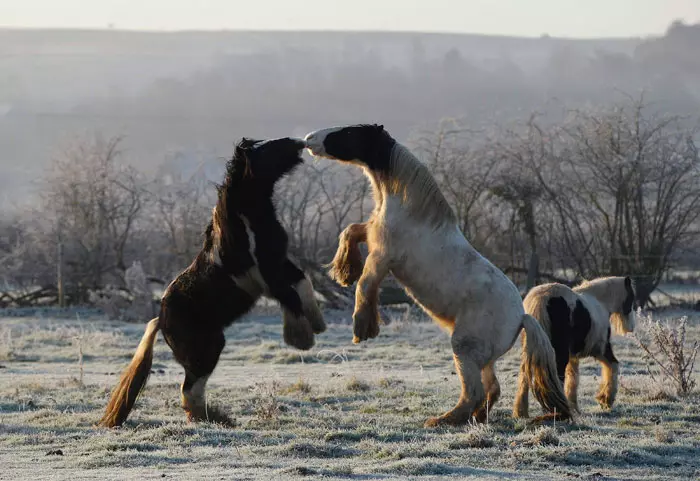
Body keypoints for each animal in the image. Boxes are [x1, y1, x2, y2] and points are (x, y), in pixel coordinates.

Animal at [99, 137, 326, 426]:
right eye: (265, 149)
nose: (298, 142)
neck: (245, 219)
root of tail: (161, 319)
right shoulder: (263, 274)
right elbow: (290, 297)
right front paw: (301, 339)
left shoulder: (279, 262)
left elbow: (303, 283)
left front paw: (317, 324)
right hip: (207, 348)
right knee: (189, 389)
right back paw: (216, 419)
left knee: (190, 390)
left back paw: (216, 418)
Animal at [304, 124, 572, 424]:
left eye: (349, 132)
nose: (309, 139)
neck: (409, 210)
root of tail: (521, 317)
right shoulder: (373, 236)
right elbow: (351, 231)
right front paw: (344, 270)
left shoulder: (382, 256)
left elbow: (365, 285)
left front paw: (363, 328)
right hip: (483, 358)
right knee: (491, 390)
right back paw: (474, 418)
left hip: (464, 348)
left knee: (474, 392)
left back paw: (442, 420)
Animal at [512, 278, 636, 416]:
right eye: (631, 297)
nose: (631, 327)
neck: (600, 302)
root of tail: (541, 299)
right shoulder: (601, 350)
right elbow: (613, 366)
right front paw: (606, 399)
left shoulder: (573, 356)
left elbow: (573, 378)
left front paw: (575, 407)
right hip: (559, 354)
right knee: (556, 377)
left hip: (531, 350)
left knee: (525, 376)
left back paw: (521, 412)